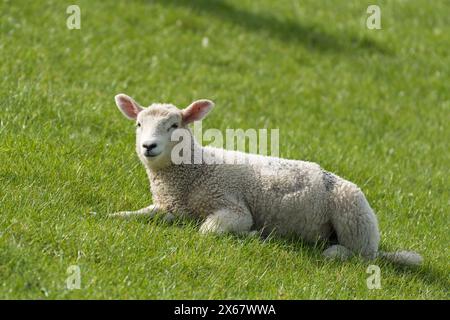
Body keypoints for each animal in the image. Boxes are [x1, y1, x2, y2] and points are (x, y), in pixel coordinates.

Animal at [109, 92, 422, 264]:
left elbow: (207, 230)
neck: (194, 171)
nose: (148, 146)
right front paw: (112, 216)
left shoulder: (232, 206)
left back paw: (332, 252)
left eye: (174, 125)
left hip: (354, 217)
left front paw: (250, 235)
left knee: (359, 256)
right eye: (139, 124)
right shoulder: (168, 205)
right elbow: (138, 214)